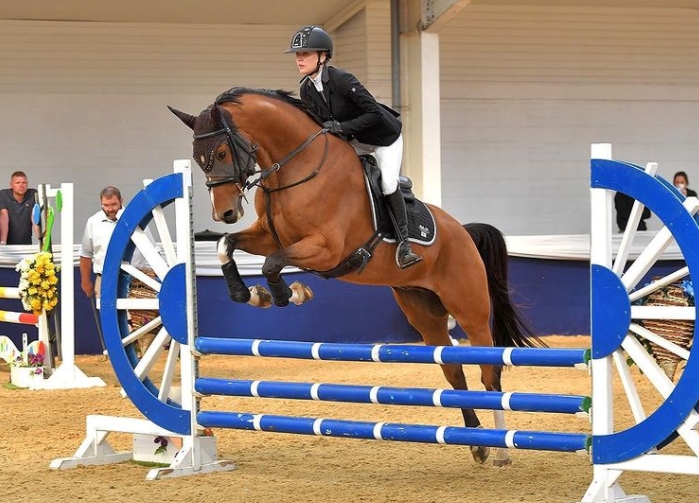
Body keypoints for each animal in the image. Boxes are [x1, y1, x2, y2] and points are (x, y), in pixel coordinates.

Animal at [169, 87, 541, 467]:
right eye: (197, 159)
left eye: (223, 152)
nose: (225, 213)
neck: (296, 168)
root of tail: (464, 232)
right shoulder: (268, 236)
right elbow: (226, 246)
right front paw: (248, 294)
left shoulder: (326, 248)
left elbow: (272, 264)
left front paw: (289, 293)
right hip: (424, 312)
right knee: (453, 371)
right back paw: (477, 443)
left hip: (470, 309)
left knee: (489, 372)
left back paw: (500, 450)